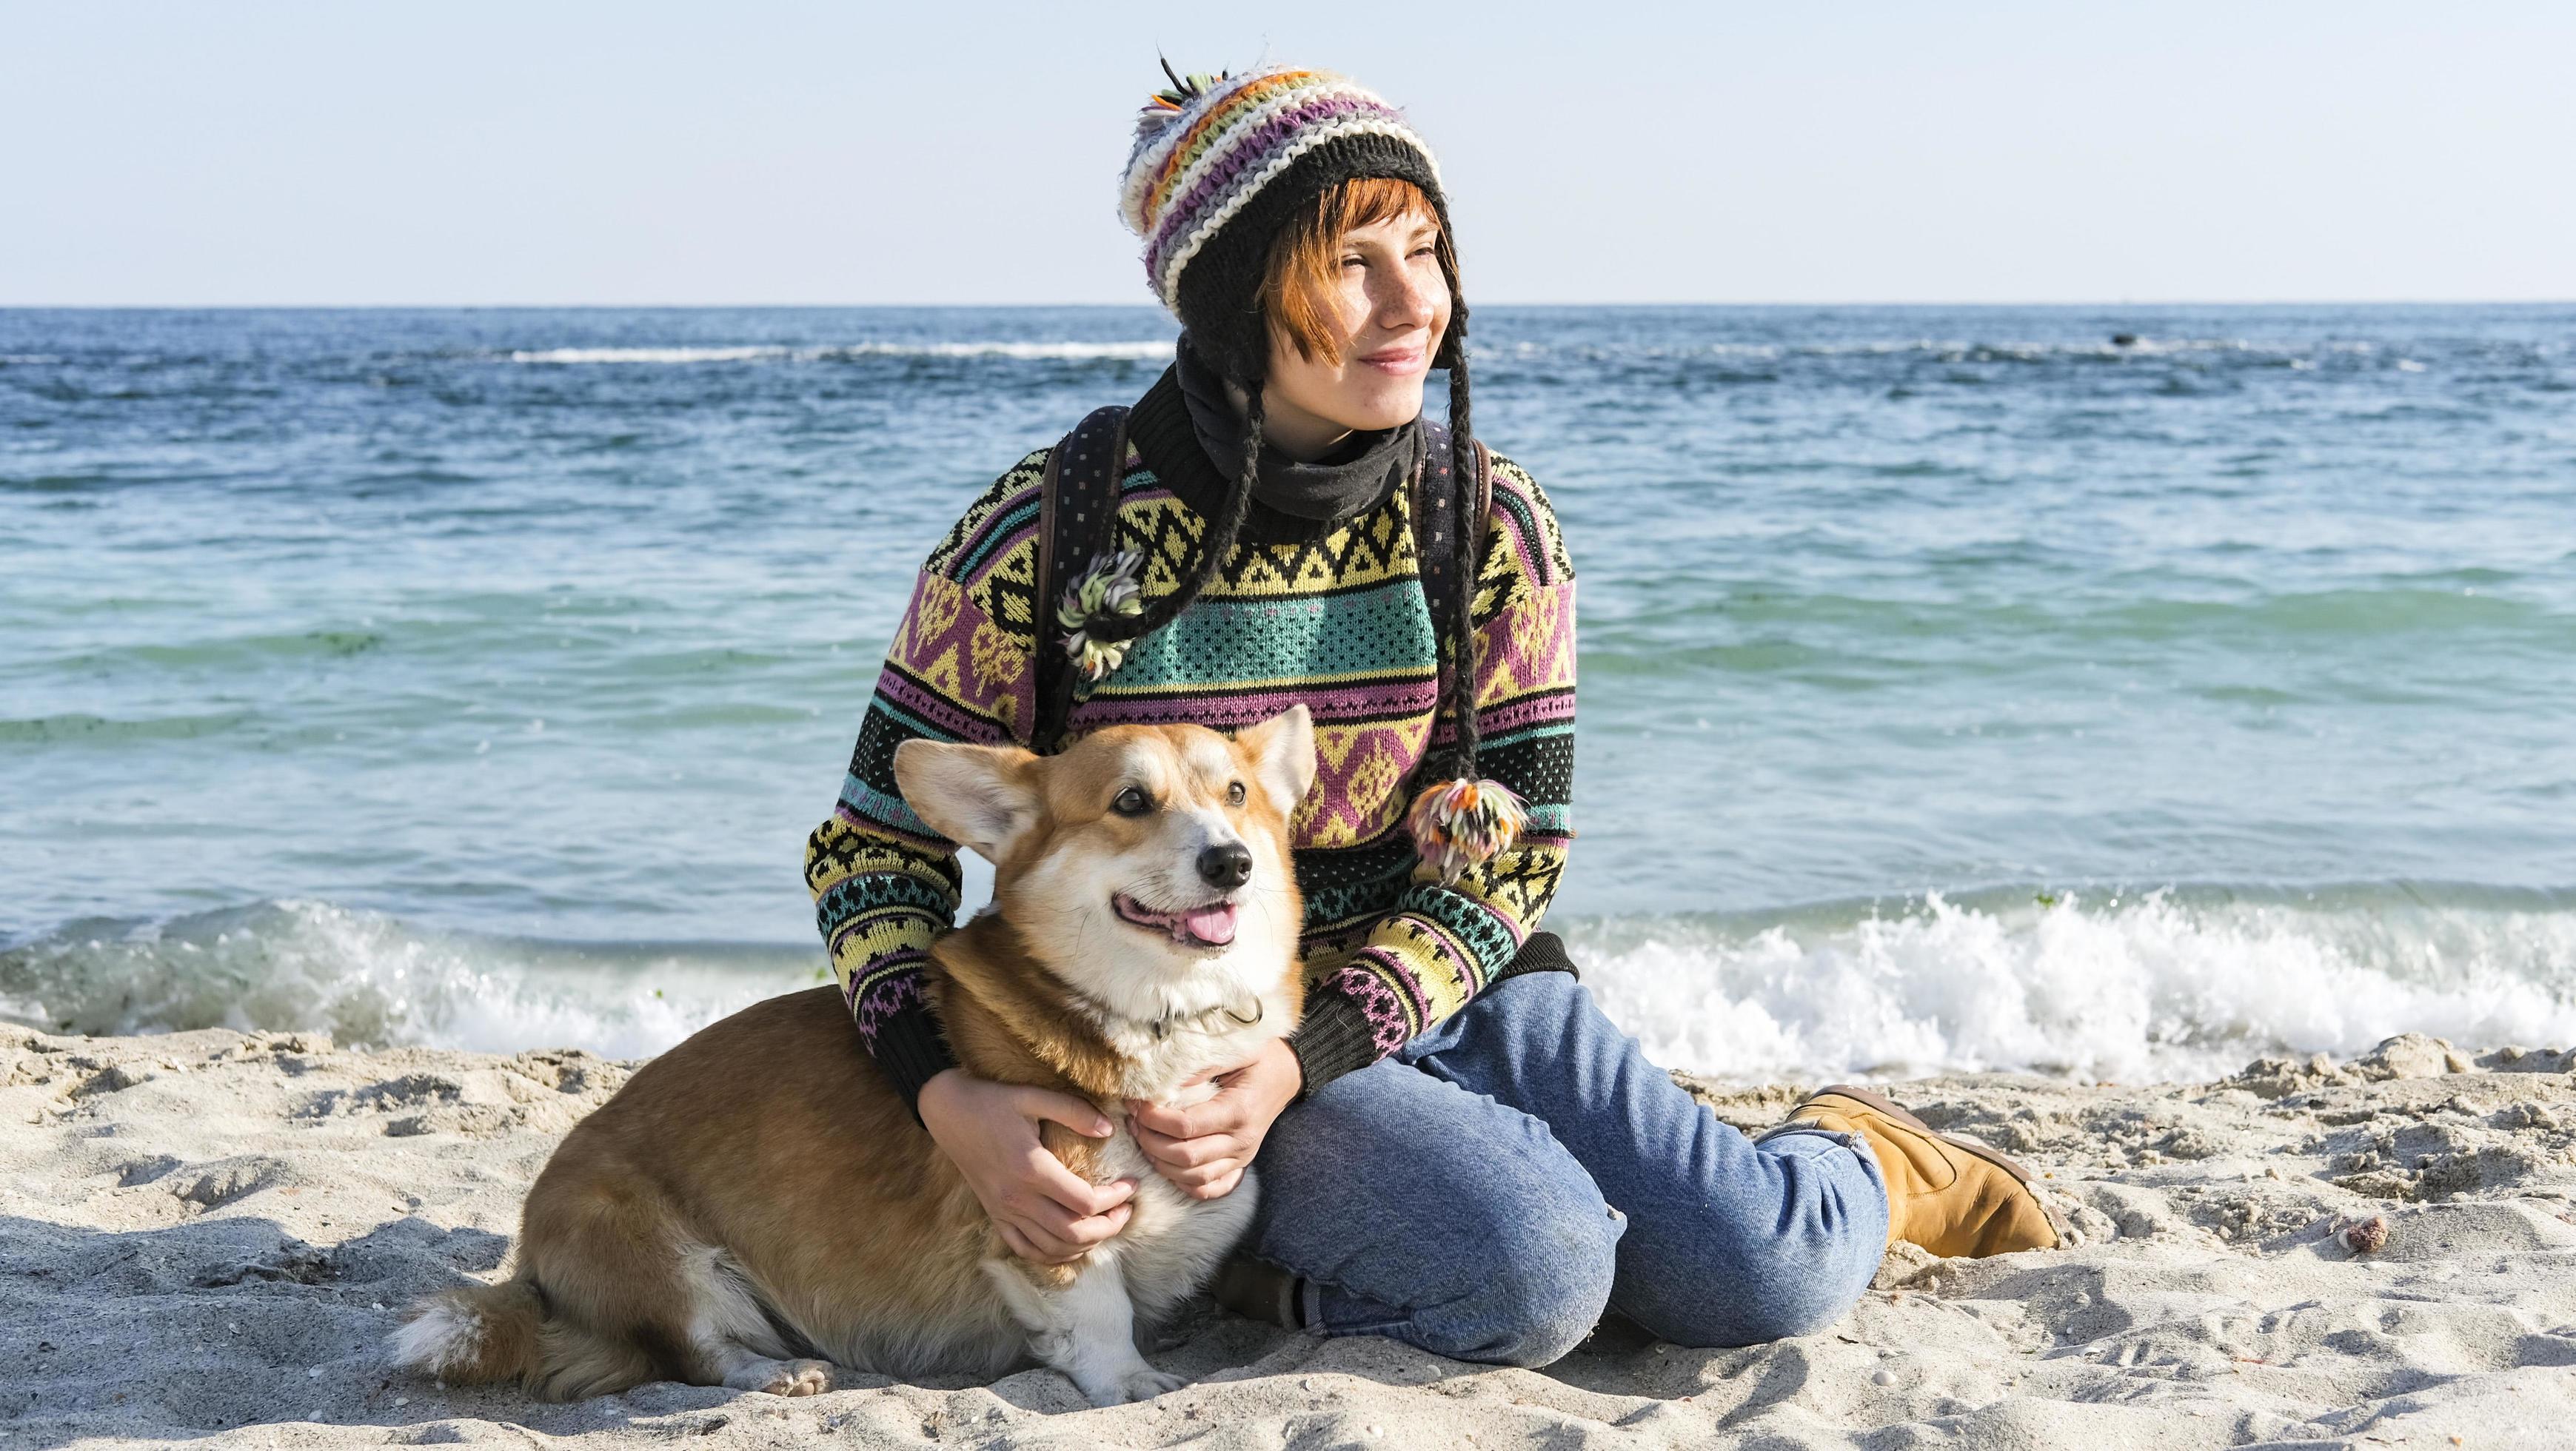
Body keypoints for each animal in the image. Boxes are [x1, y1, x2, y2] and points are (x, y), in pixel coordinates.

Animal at [391, 706, 1319, 1412]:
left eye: (1235, 794)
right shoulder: (1053, 1232)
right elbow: (1097, 1317)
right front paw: (1131, 1383)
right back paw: (780, 1371)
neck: (1159, 1016)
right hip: (656, 1253)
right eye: (1130, 800)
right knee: (698, 1352)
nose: (1230, 861)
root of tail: (530, 1270)